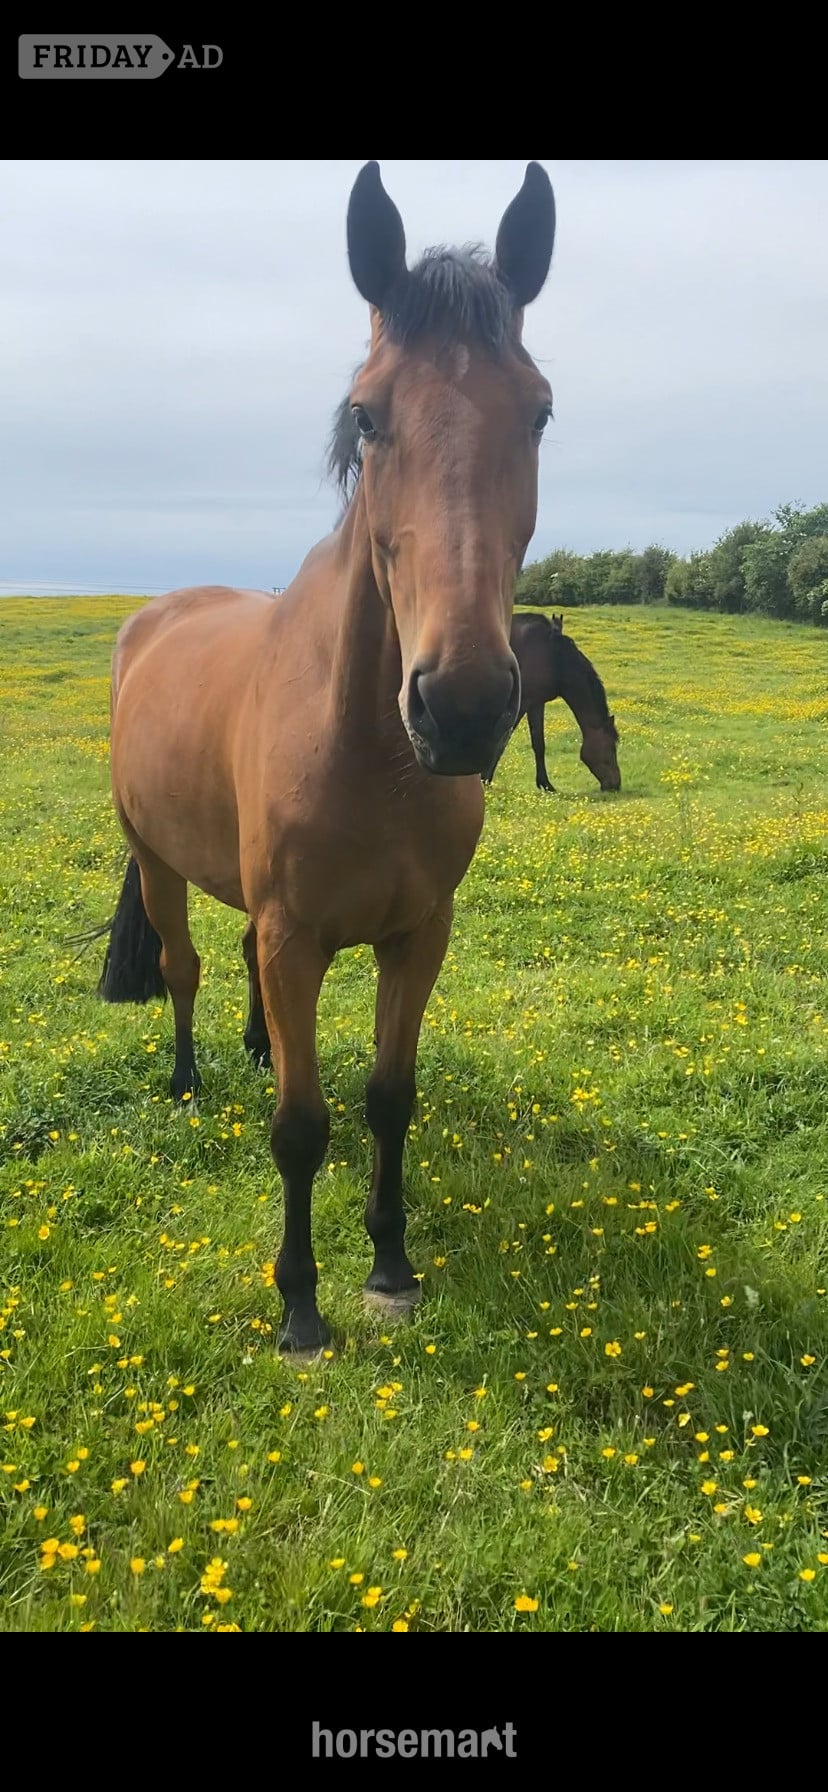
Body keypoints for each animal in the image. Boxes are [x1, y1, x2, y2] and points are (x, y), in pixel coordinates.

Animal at [97, 160, 556, 1355]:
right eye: (367, 413)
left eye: (539, 411)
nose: (463, 705)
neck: (368, 752)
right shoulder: (297, 936)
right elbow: (301, 1128)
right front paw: (300, 1302)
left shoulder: (417, 933)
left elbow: (390, 1098)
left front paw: (390, 1262)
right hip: (158, 863)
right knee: (183, 967)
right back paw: (187, 1080)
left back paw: (255, 1048)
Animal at [486, 610, 620, 792]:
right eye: (610, 747)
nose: (616, 784)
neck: (552, 657)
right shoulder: (520, 704)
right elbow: (501, 741)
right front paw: (485, 779)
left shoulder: (536, 703)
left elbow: (539, 744)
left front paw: (545, 784)